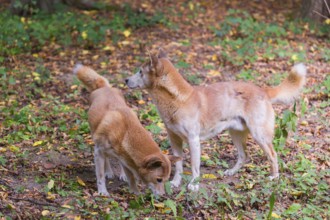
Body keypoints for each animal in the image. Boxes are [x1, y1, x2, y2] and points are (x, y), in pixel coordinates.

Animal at [74, 64, 182, 196]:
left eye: (166, 180)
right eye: (159, 179)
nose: (162, 196)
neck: (125, 132)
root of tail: (104, 87)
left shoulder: (125, 157)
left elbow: (131, 178)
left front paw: (136, 193)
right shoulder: (99, 151)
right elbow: (100, 176)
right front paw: (102, 192)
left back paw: (121, 174)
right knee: (106, 159)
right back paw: (109, 172)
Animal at [125, 48, 306, 191]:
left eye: (140, 71)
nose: (125, 80)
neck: (178, 99)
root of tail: (262, 90)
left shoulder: (193, 140)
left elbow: (194, 167)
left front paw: (194, 185)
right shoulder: (174, 139)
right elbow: (178, 165)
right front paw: (176, 182)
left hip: (259, 135)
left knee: (273, 155)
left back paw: (274, 177)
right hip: (235, 133)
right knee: (244, 155)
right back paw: (232, 172)